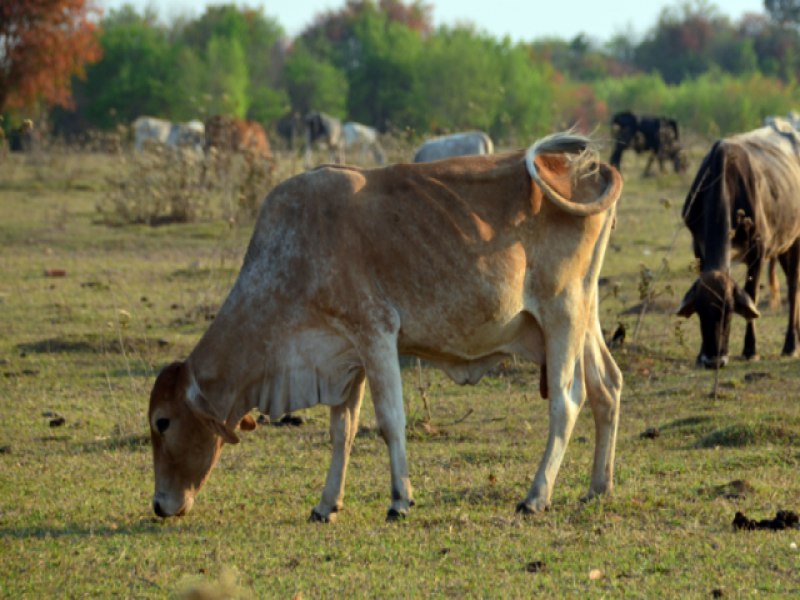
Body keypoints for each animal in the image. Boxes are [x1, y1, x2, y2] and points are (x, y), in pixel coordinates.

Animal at [148, 131, 624, 520]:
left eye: (162, 422)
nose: (159, 504)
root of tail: (589, 168)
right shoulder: (344, 356)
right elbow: (343, 430)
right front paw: (327, 503)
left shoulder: (375, 333)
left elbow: (390, 421)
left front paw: (400, 499)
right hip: (583, 313)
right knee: (607, 386)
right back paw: (598, 487)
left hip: (561, 311)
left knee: (567, 399)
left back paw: (536, 496)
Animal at [680, 122, 800, 368]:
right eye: (701, 311)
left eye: (729, 310)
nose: (713, 359)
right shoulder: (698, 246)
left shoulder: (758, 251)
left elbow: (752, 294)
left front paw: (750, 350)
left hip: (794, 240)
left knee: (794, 286)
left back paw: (791, 345)